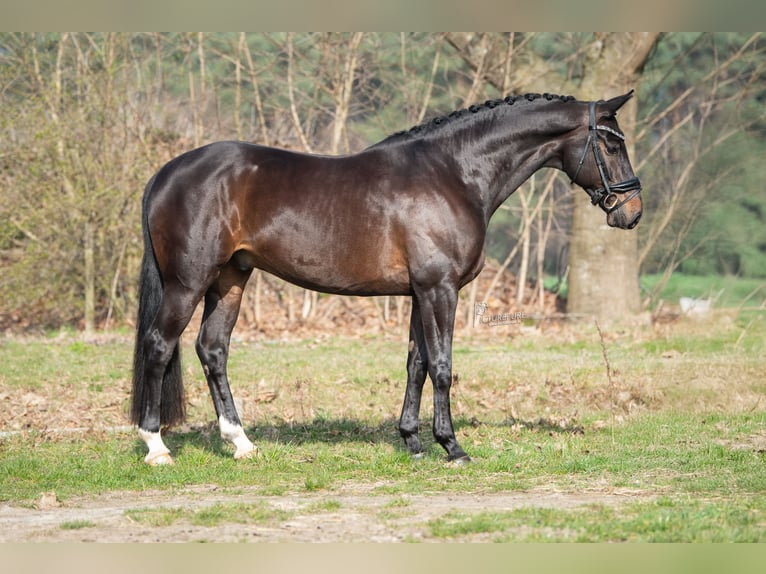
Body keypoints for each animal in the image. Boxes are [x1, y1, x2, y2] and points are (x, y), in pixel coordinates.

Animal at [131, 91, 643, 465]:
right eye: (612, 143)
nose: (632, 211)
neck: (453, 173)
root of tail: (166, 173)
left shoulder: (420, 291)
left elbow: (417, 363)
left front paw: (413, 442)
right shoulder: (440, 289)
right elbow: (442, 366)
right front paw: (452, 447)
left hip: (230, 280)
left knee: (212, 350)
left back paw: (241, 442)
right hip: (188, 283)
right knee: (159, 345)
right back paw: (156, 446)